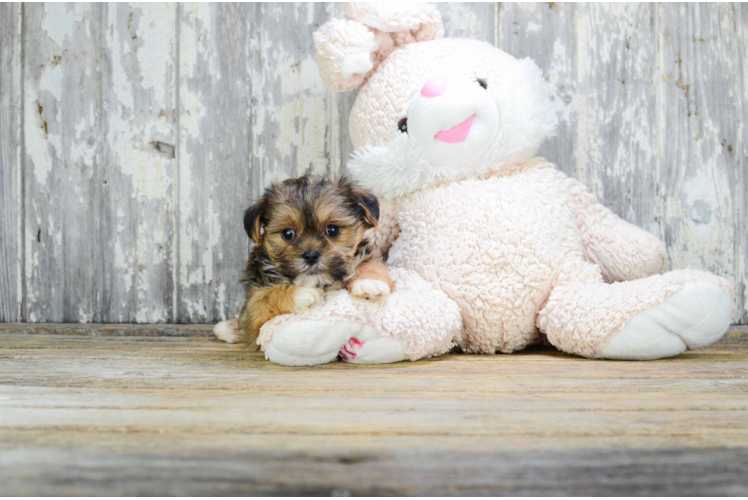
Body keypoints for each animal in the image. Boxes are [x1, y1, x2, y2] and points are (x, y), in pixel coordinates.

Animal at [222, 176, 394, 352]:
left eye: (332, 230)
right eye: (288, 233)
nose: (311, 255)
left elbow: (367, 263)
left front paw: (370, 284)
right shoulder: (254, 310)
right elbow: (267, 296)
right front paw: (301, 293)